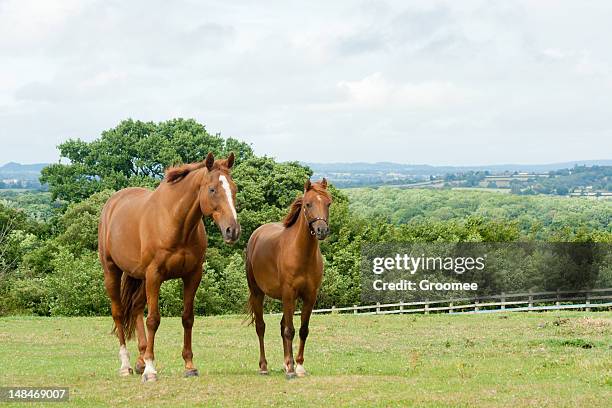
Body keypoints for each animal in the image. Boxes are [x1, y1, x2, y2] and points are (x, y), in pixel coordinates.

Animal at [98, 152, 239, 382]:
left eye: (234, 189)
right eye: (212, 189)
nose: (232, 231)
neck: (175, 222)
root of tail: (112, 203)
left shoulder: (192, 275)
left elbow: (188, 318)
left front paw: (189, 365)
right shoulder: (155, 275)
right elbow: (153, 320)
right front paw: (151, 369)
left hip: (141, 278)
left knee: (136, 307)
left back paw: (140, 359)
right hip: (112, 271)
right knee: (118, 313)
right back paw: (126, 365)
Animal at [245, 178, 332, 380]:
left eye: (328, 203)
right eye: (308, 204)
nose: (321, 230)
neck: (302, 254)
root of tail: (256, 234)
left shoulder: (309, 297)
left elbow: (302, 330)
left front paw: (298, 366)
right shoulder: (289, 294)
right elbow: (289, 331)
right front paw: (292, 369)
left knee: (283, 325)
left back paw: (286, 363)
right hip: (258, 293)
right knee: (261, 327)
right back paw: (264, 366)